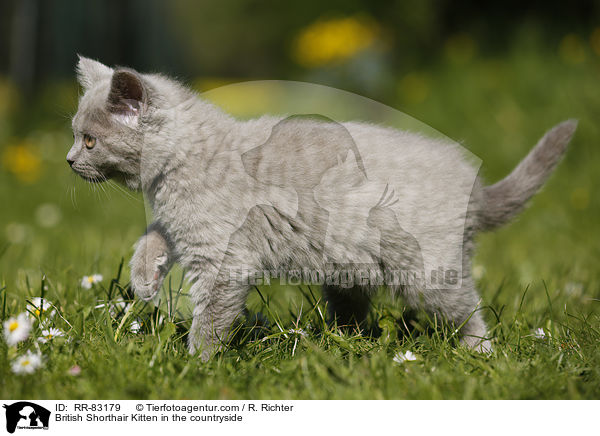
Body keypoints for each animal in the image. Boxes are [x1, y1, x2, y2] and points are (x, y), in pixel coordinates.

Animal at [67, 56, 576, 360]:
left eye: (89, 140)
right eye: (75, 134)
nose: (69, 160)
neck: (184, 162)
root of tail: (473, 187)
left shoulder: (222, 257)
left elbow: (210, 316)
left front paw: (197, 365)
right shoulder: (179, 225)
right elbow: (152, 234)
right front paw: (143, 278)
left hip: (428, 272)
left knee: (467, 310)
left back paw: (480, 354)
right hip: (347, 267)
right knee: (356, 309)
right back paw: (341, 343)